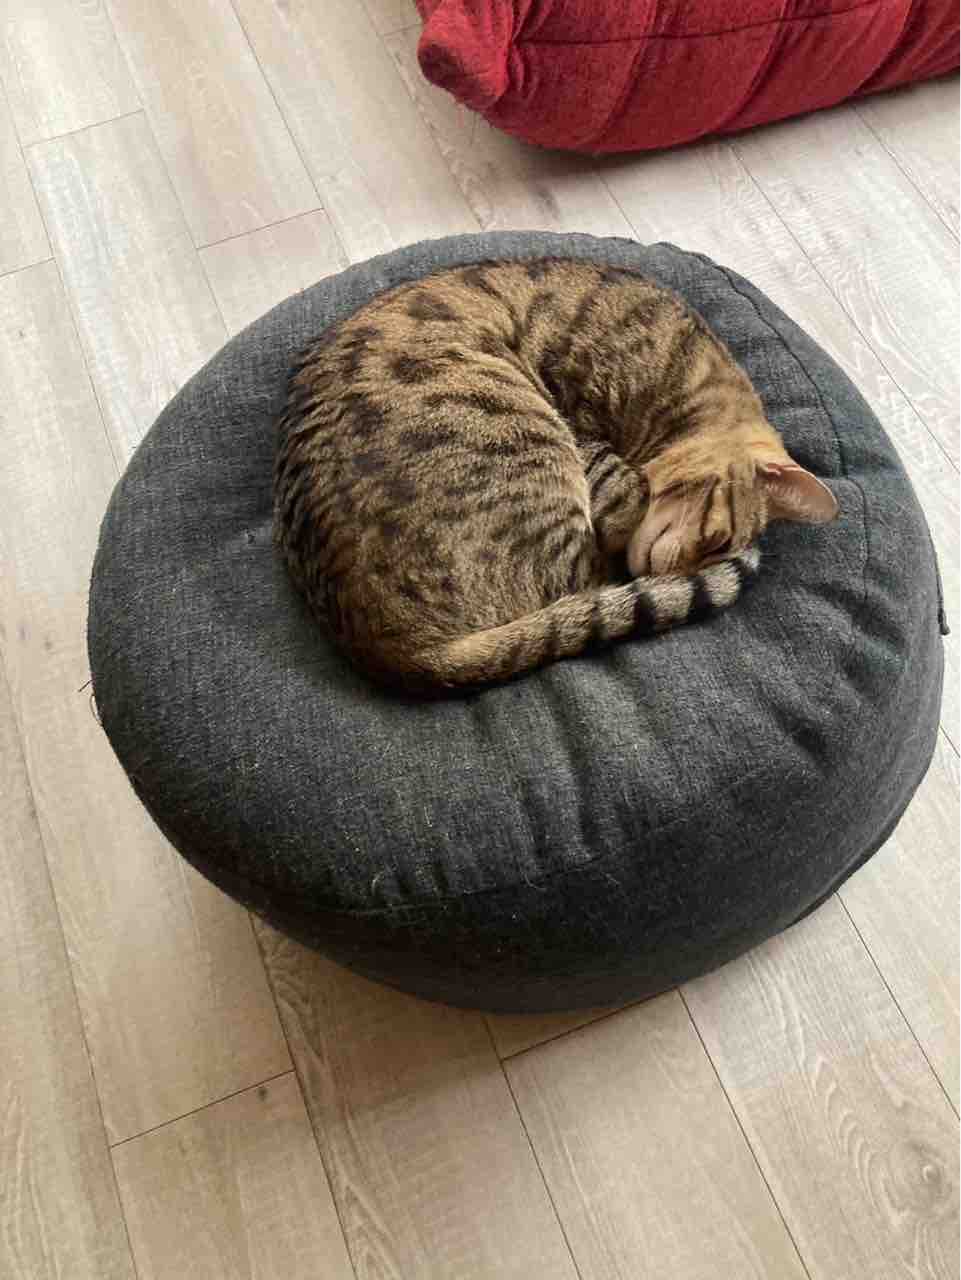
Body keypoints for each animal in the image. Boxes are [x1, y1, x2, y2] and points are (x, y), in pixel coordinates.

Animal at [274, 259, 837, 691]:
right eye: (718, 539)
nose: (671, 571)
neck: (686, 383)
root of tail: (397, 651)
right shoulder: (583, 421)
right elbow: (628, 489)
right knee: (587, 579)